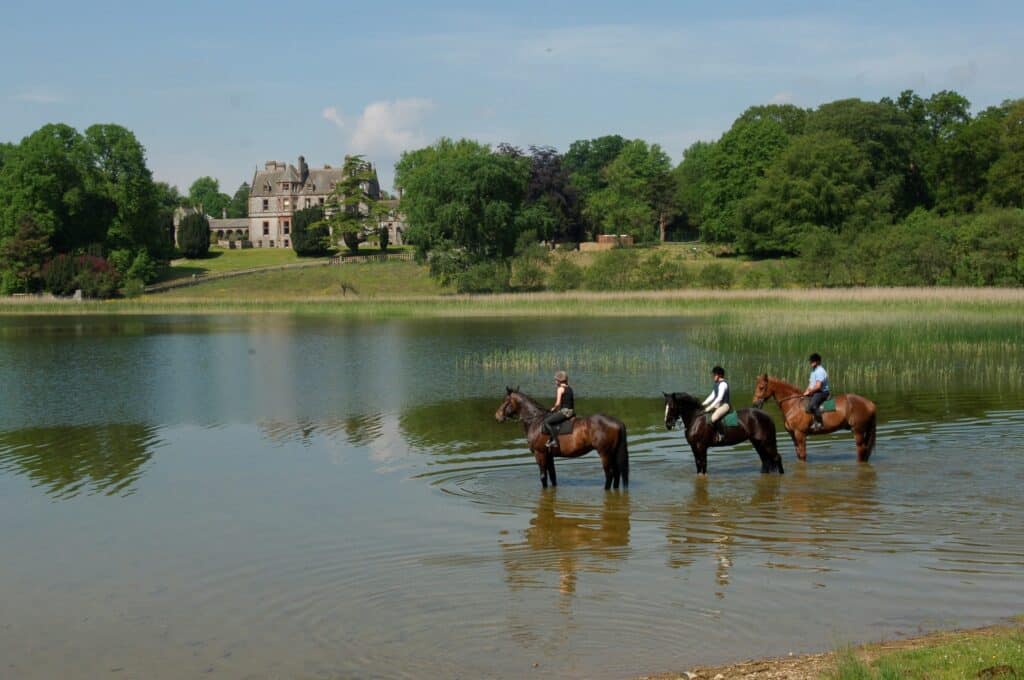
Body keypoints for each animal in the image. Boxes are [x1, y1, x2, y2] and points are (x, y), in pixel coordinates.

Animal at [493, 387, 626, 489]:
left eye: (505, 401)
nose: (497, 416)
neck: (535, 421)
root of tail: (616, 422)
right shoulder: (548, 455)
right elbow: (553, 476)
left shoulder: (540, 453)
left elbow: (543, 477)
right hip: (612, 453)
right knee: (616, 474)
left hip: (605, 453)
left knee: (609, 474)